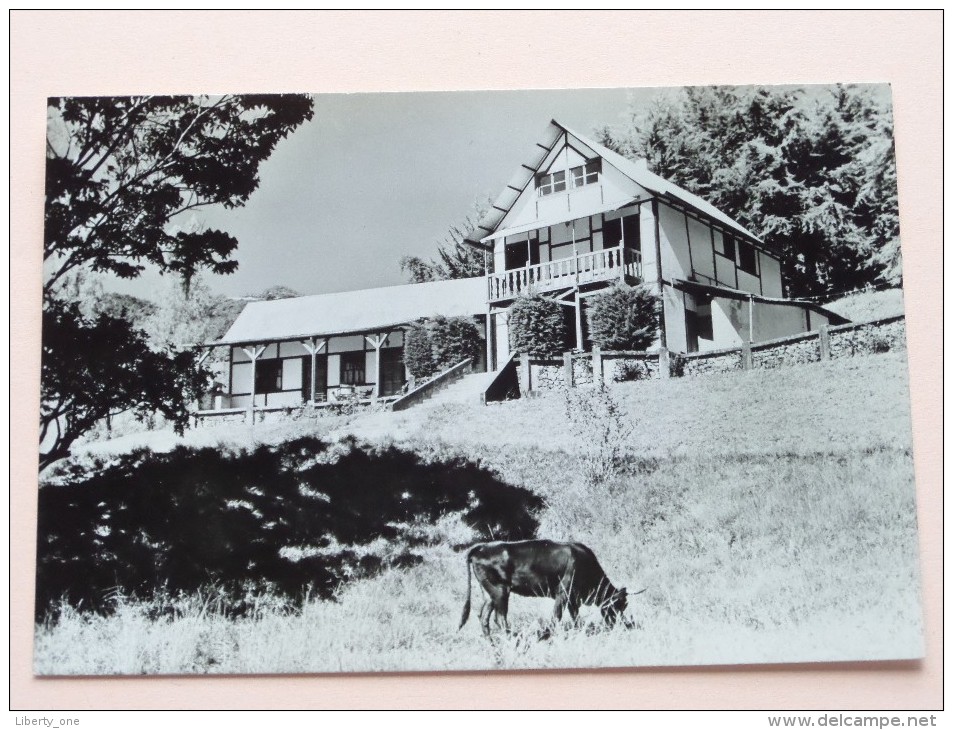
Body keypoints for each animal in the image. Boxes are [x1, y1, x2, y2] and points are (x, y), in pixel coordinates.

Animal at [460, 536, 640, 636]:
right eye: (619, 605)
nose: (619, 624)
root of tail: (482, 547)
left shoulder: (573, 599)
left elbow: (575, 617)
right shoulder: (563, 593)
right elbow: (556, 617)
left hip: (490, 594)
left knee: (484, 618)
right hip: (500, 591)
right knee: (500, 619)